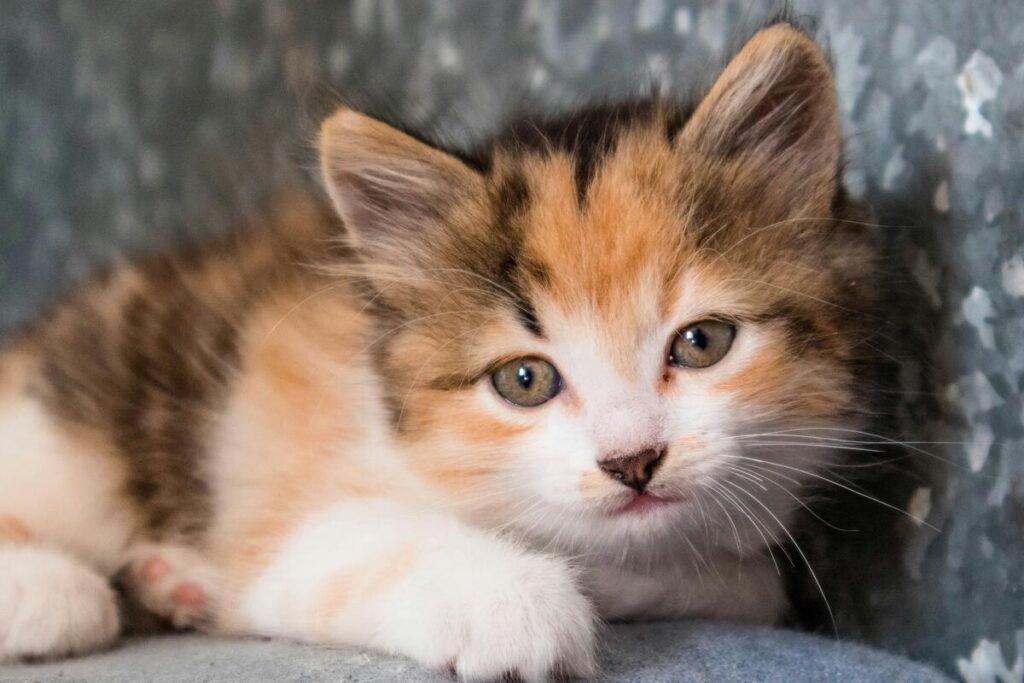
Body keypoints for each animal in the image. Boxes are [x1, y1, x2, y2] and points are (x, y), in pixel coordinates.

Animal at [0, 24, 880, 679]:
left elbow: (755, 581)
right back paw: (58, 590)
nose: (632, 461)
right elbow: (364, 543)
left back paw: (169, 581)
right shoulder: (280, 517)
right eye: (524, 379)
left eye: (701, 342)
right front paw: (518, 601)